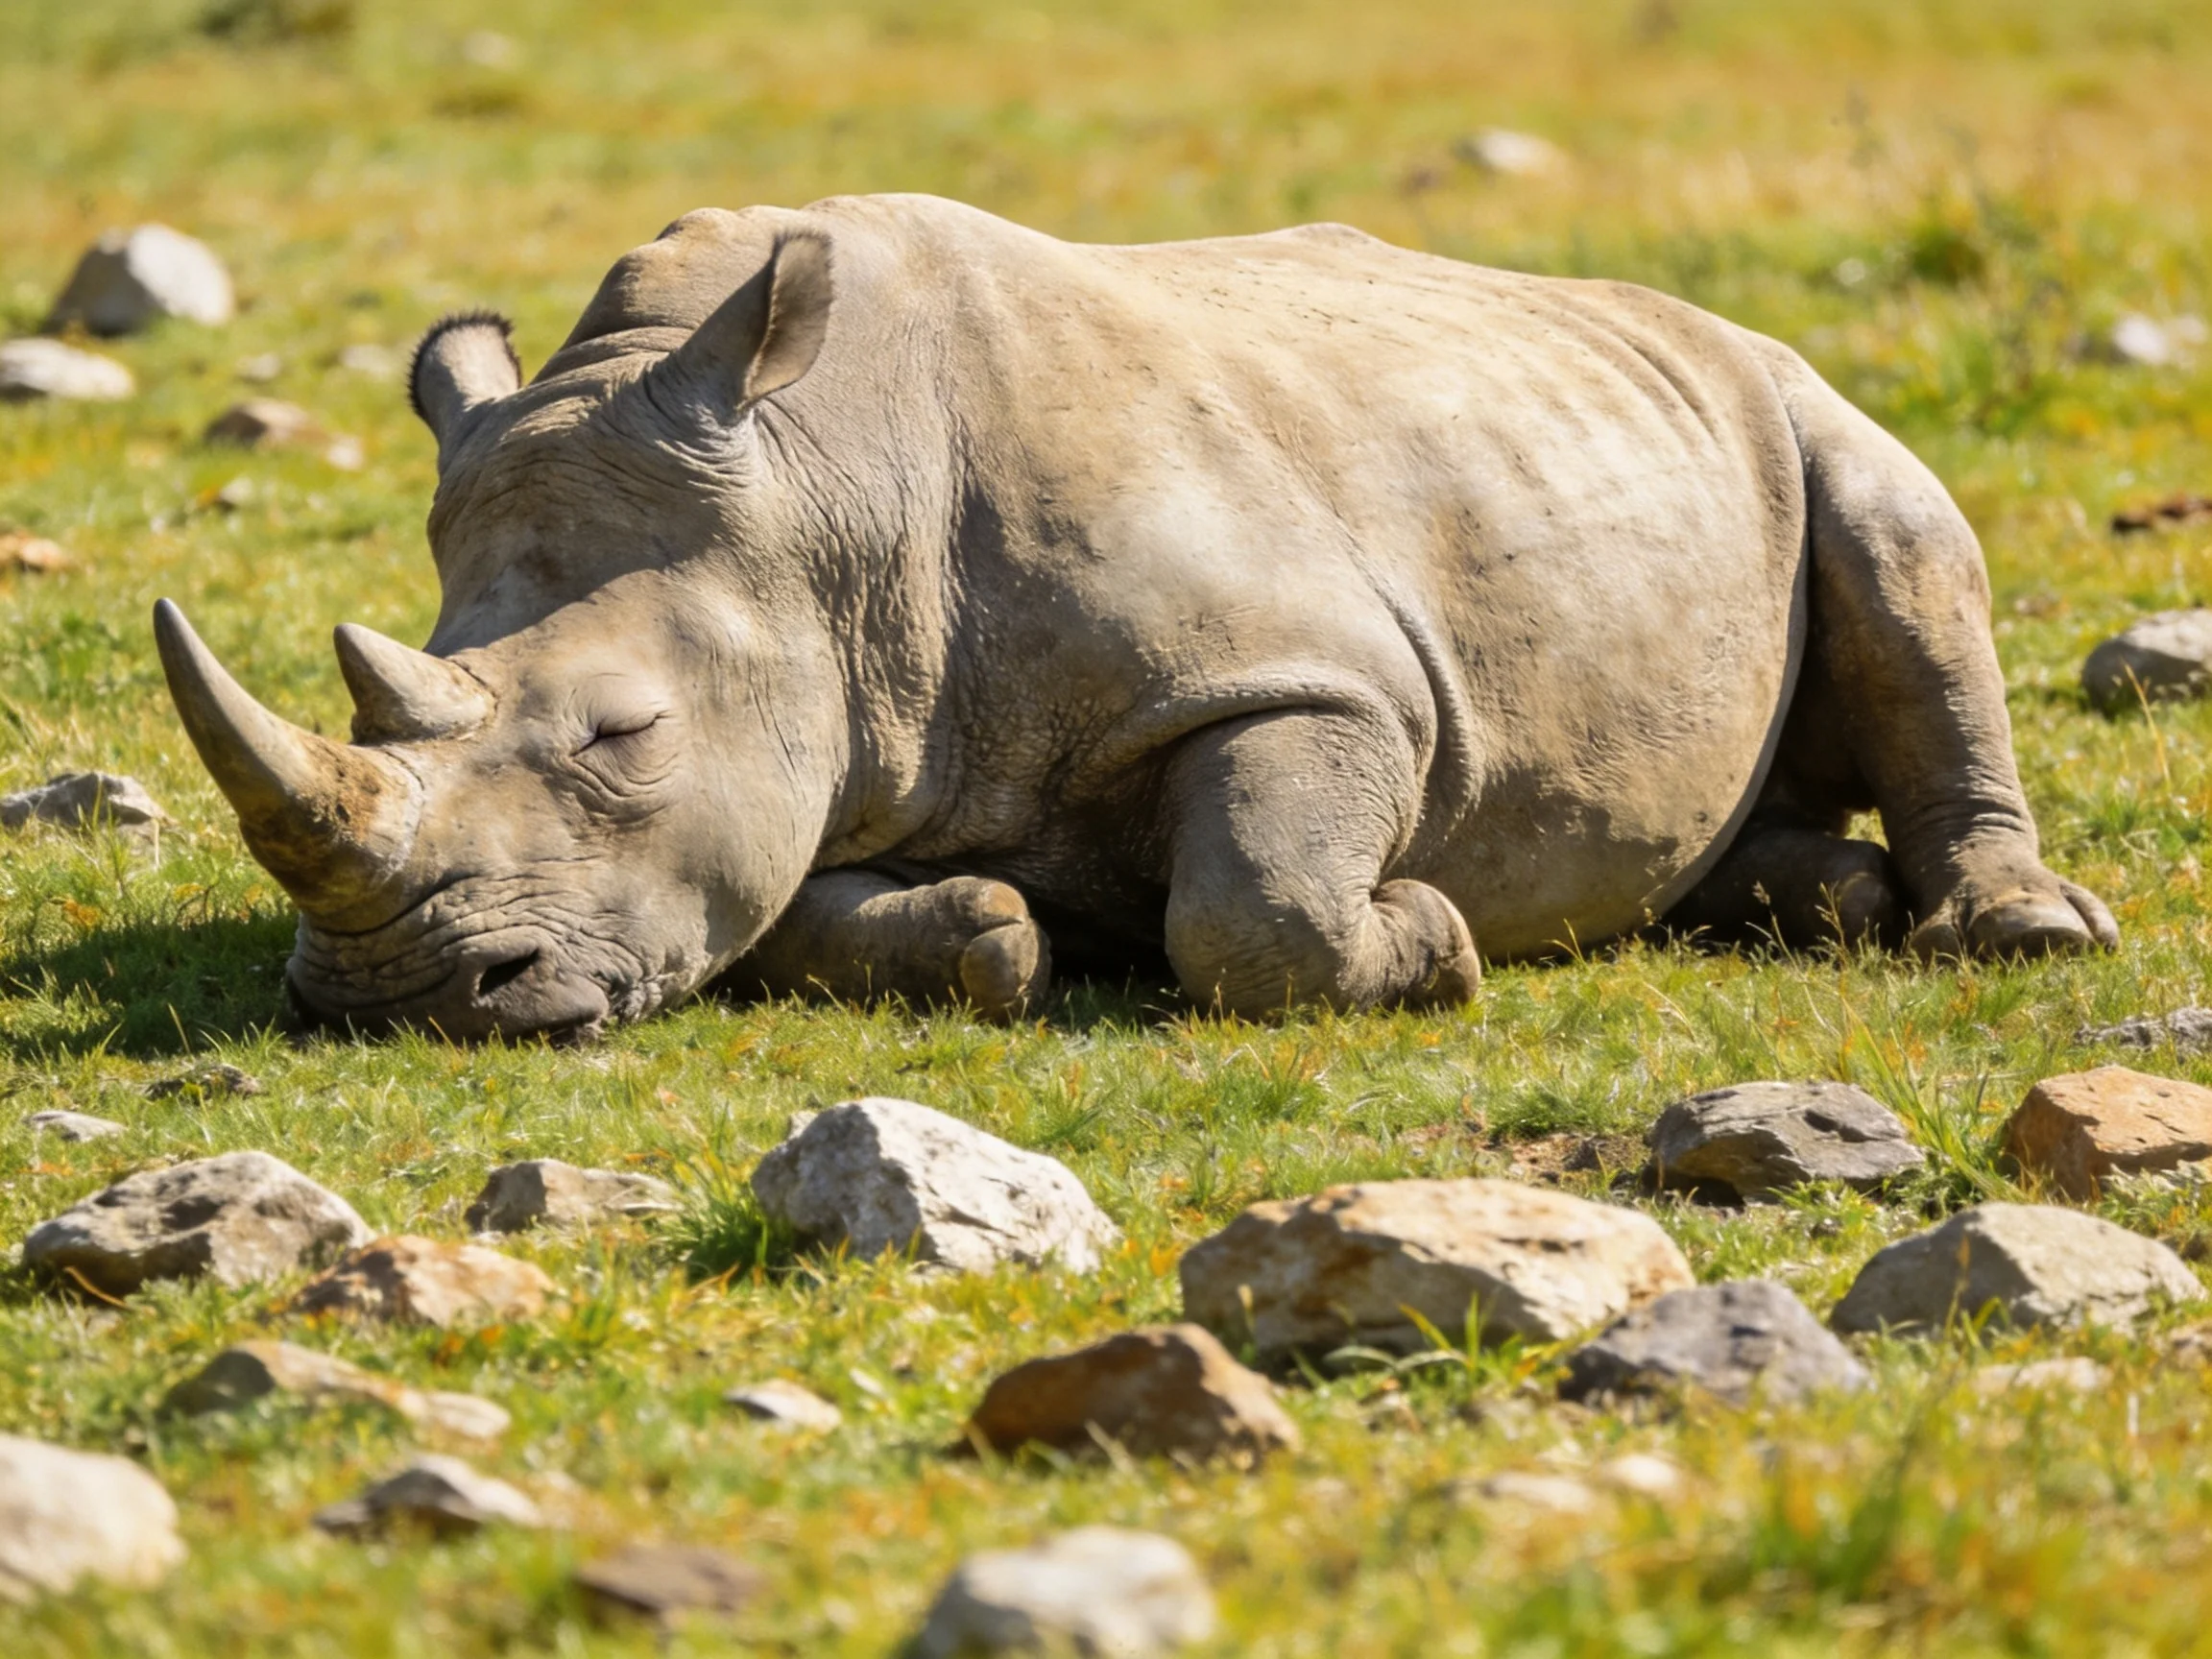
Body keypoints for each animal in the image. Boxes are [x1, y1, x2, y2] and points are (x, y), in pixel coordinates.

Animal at [155, 194, 2115, 1041]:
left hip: (1789, 391)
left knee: (1901, 538)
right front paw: (998, 935)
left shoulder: (1315, 678)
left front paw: (1428, 942)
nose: (400, 996)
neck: (822, 496)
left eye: (620, 737)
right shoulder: (833, 741)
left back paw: (2012, 935)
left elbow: (1256, 903)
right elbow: (789, 911)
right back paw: (1812, 900)